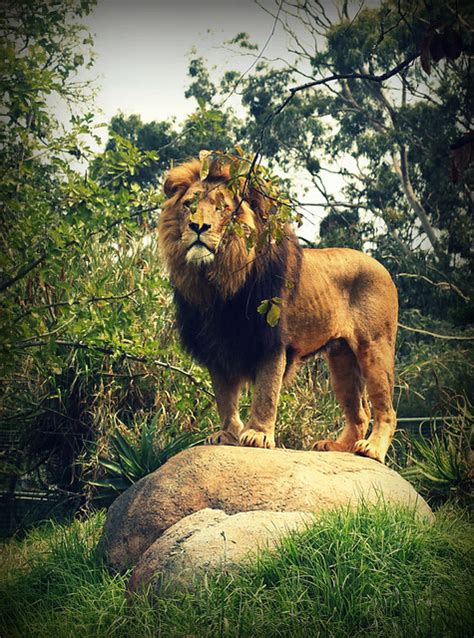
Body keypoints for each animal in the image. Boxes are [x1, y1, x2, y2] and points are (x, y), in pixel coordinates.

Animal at [157, 155, 398, 464]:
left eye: (223, 208)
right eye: (189, 204)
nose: (198, 227)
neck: (218, 282)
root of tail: (382, 266)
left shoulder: (271, 341)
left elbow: (266, 391)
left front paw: (257, 435)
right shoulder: (217, 345)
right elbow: (225, 397)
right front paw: (227, 434)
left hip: (374, 346)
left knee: (385, 410)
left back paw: (372, 449)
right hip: (341, 358)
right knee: (360, 414)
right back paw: (336, 447)